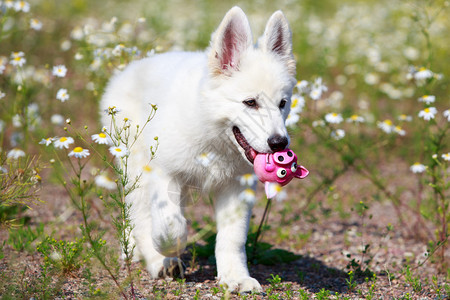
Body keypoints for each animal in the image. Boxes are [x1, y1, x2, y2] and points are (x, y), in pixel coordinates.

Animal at [102, 6, 298, 292]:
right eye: (250, 102)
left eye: (283, 103)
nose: (279, 143)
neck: (213, 139)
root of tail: (129, 69)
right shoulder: (164, 172)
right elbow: (169, 225)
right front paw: (168, 249)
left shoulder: (235, 188)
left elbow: (232, 238)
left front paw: (235, 277)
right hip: (136, 168)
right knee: (140, 214)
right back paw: (155, 259)